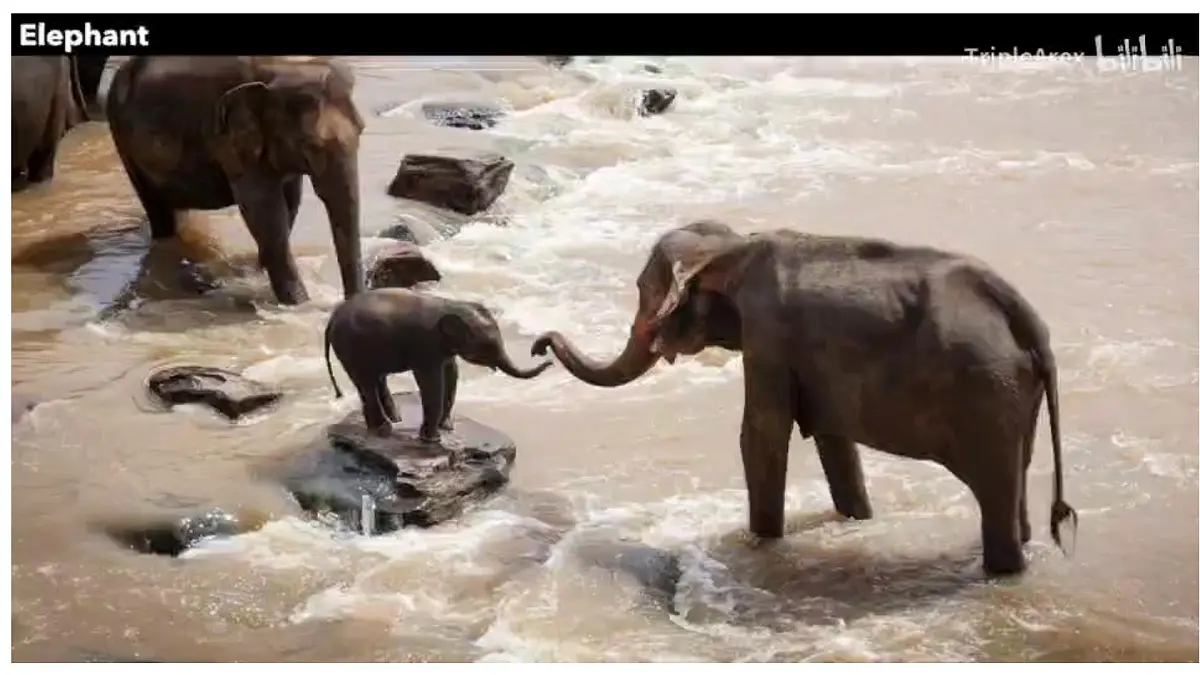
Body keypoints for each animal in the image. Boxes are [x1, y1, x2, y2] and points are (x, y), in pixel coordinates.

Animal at [104, 56, 366, 305]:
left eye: (362, 129)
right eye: (311, 145)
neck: (283, 66)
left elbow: (289, 203)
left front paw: (259, 271)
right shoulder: (229, 139)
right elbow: (264, 210)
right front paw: (297, 304)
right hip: (122, 140)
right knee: (158, 210)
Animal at [324, 288, 553, 442]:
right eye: (488, 346)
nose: (546, 355)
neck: (451, 303)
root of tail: (332, 318)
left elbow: (452, 373)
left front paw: (446, 428)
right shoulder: (425, 345)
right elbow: (432, 381)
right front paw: (432, 439)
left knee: (375, 378)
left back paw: (395, 419)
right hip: (349, 348)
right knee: (365, 382)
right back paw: (383, 430)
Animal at [531, 220, 1078, 577]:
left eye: (643, 290)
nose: (538, 345)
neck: (733, 245)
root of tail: (1027, 321)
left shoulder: (768, 336)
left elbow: (760, 434)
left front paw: (759, 545)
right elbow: (834, 442)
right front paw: (855, 520)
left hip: (987, 394)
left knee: (996, 494)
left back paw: (1001, 572)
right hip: (1013, 396)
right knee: (1017, 480)